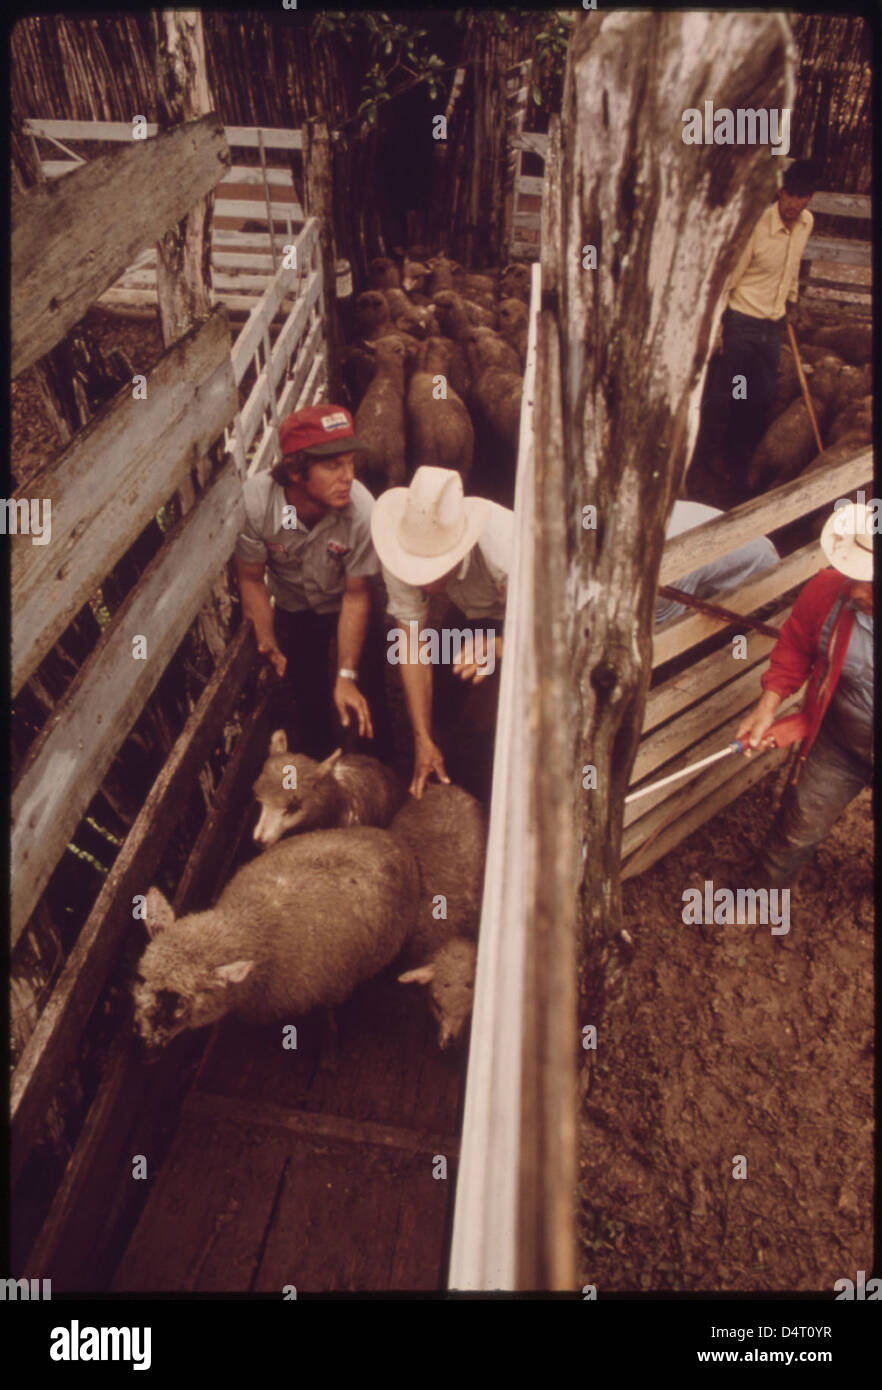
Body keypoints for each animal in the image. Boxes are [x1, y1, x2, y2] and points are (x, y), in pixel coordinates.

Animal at [133, 827, 419, 1053]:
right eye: (145, 978)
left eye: (183, 1001)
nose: (143, 1043)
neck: (251, 924)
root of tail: (394, 840)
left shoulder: (332, 988)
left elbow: (329, 1015)